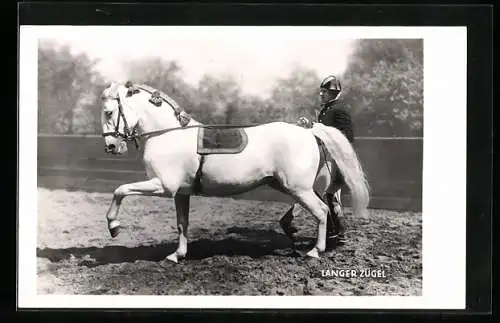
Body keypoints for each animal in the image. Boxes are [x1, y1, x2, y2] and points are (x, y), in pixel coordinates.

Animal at [99, 81, 370, 264]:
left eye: (109, 112)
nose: (111, 146)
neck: (168, 133)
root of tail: (309, 130)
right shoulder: (181, 193)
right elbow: (182, 224)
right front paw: (177, 255)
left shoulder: (163, 186)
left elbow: (120, 190)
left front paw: (114, 226)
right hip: (291, 186)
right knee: (323, 208)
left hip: (299, 188)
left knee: (322, 211)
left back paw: (315, 250)